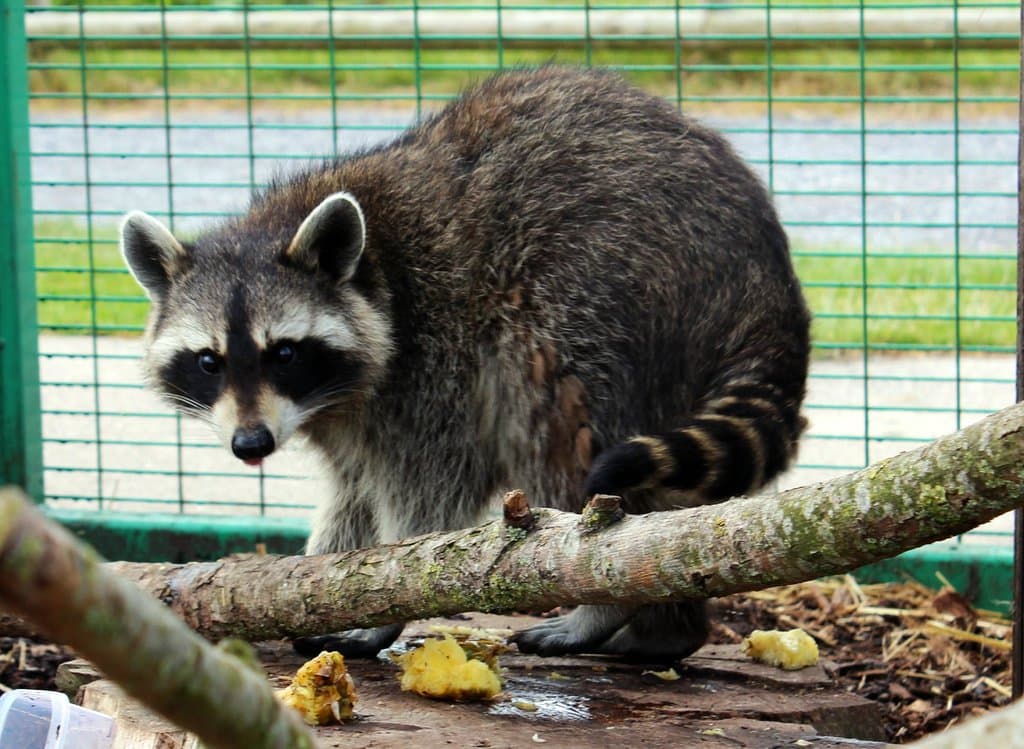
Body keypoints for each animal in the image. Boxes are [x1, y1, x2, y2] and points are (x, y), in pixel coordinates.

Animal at [121, 66, 810, 661]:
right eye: (208, 361)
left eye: (283, 353)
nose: (251, 444)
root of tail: (764, 273)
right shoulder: (344, 414)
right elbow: (352, 492)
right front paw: (321, 580)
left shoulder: (435, 356)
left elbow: (432, 489)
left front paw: (383, 605)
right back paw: (668, 629)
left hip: (604, 292)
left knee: (559, 434)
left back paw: (607, 603)